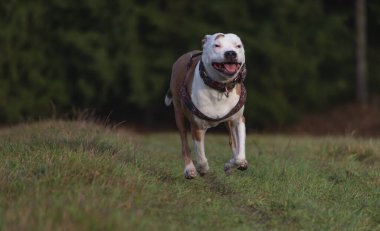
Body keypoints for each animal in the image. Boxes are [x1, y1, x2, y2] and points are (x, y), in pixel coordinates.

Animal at [165, 32, 248, 179]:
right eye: (217, 45)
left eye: (238, 46)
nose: (231, 53)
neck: (221, 87)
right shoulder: (197, 126)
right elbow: (200, 155)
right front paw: (202, 168)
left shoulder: (238, 120)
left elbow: (239, 155)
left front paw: (231, 164)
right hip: (179, 115)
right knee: (184, 144)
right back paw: (190, 169)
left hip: (229, 122)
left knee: (233, 142)